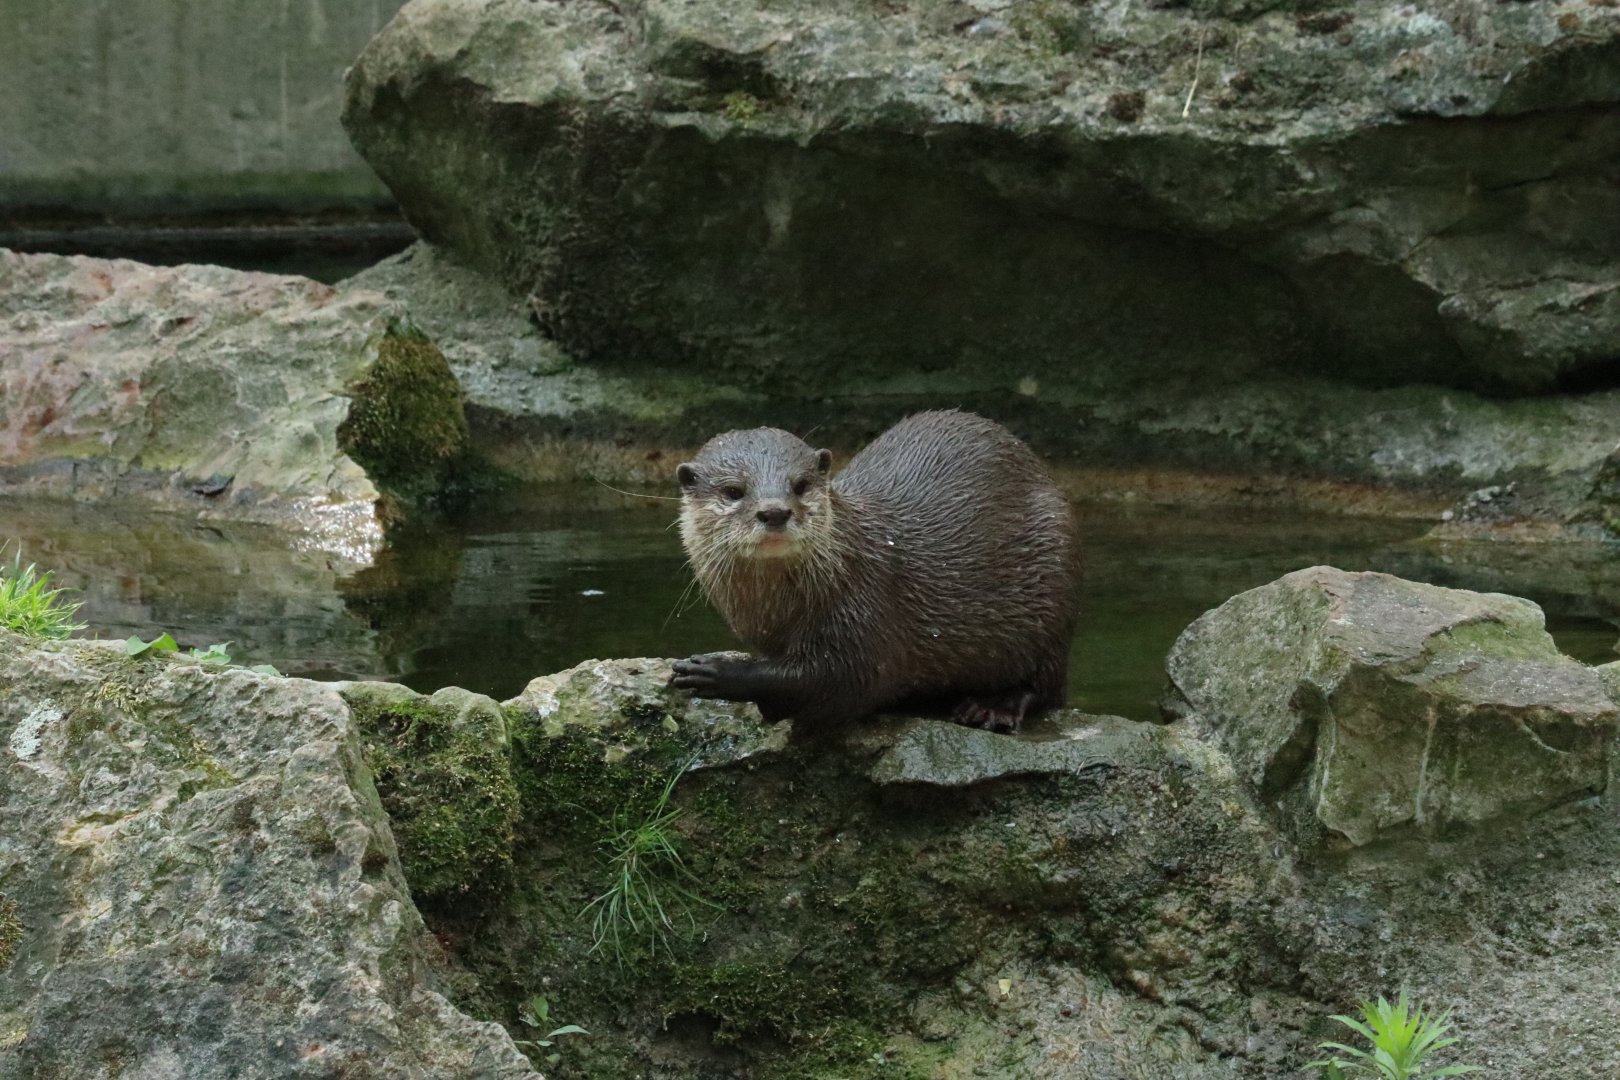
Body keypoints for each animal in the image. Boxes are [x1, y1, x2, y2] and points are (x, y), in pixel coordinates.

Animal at [671, 409, 1081, 732]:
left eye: (800, 485)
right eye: (733, 491)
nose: (774, 511)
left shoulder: (866, 604)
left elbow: (839, 681)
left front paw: (717, 672)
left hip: (1052, 587)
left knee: (1044, 686)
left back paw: (994, 707)